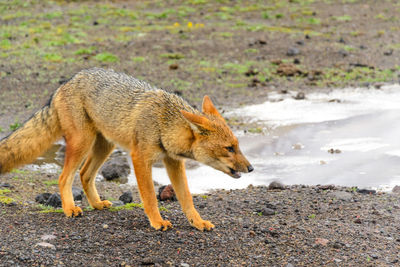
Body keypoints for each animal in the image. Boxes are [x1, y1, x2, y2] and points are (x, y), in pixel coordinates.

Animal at [0, 68, 253, 232]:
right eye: (229, 148)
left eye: (238, 146)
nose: (251, 168)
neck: (164, 123)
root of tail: (65, 82)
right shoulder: (140, 158)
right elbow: (149, 197)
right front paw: (157, 222)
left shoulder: (173, 162)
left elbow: (187, 198)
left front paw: (197, 223)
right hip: (83, 143)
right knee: (65, 177)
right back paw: (70, 208)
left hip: (105, 146)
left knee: (84, 174)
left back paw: (96, 204)